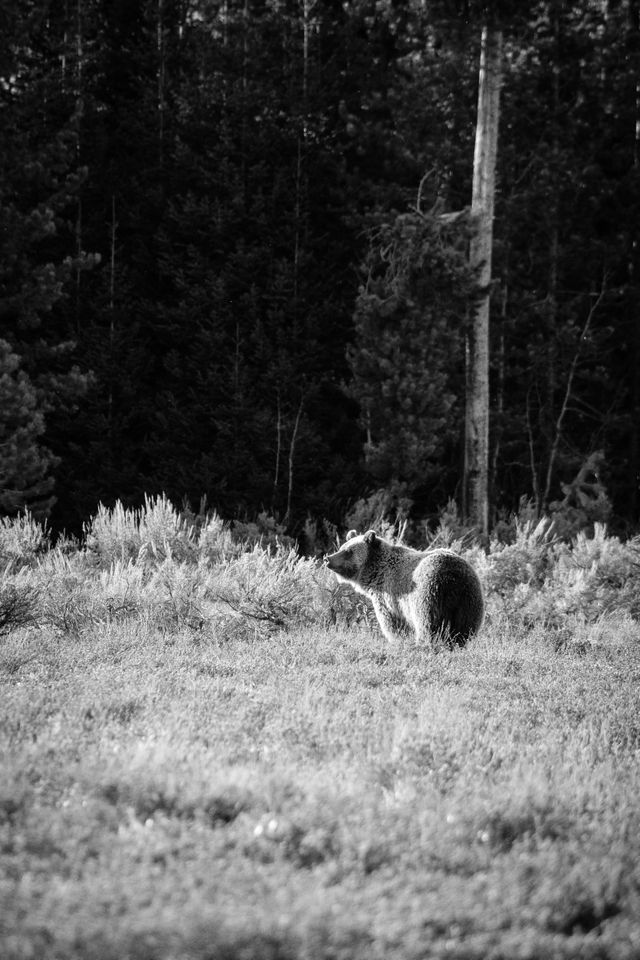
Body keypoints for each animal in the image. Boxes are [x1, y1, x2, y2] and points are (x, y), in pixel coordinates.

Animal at [328, 532, 482, 644]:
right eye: (341, 547)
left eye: (348, 551)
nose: (328, 558)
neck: (375, 572)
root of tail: (451, 576)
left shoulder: (388, 596)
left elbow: (392, 624)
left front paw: (398, 640)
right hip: (468, 598)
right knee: (464, 628)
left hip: (427, 593)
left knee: (427, 623)